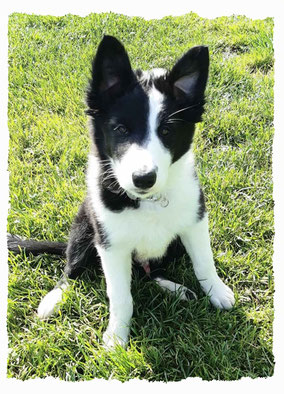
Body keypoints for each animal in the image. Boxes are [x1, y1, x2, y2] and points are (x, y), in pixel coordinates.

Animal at [11, 35, 235, 346]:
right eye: (120, 129)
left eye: (167, 131)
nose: (143, 179)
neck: (149, 201)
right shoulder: (111, 245)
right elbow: (120, 296)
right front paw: (117, 337)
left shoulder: (195, 221)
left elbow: (204, 263)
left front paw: (216, 291)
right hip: (84, 226)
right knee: (72, 267)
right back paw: (55, 297)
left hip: (173, 246)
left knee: (152, 273)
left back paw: (177, 289)